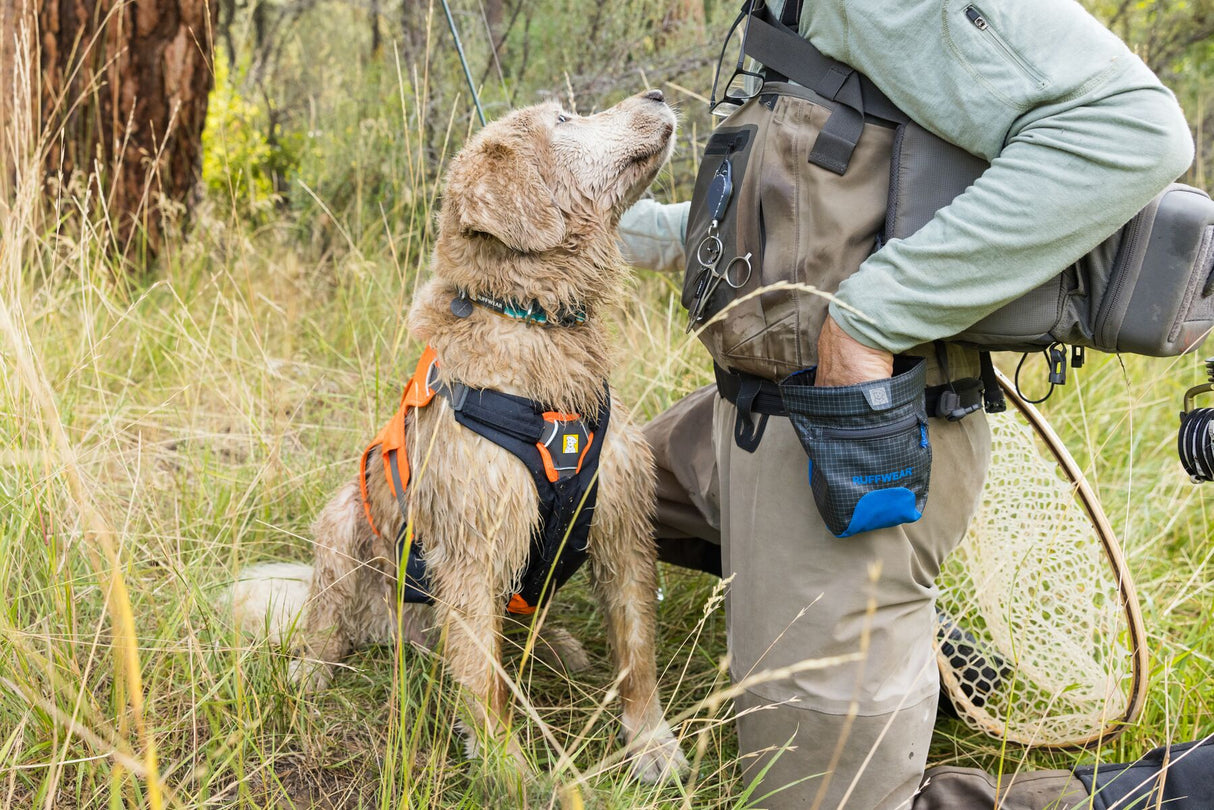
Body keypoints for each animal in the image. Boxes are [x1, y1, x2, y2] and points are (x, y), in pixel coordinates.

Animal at [228, 91, 684, 782]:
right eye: (564, 120)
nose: (657, 96)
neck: (534, 322)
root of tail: (396, 634)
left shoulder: (622, 525)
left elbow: (637, 651)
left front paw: (651, 741)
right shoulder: (473, 548)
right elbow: (483, 679)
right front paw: (509, 769)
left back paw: (559, 647)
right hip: (340, 523)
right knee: (329, 623)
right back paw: (311, 670)